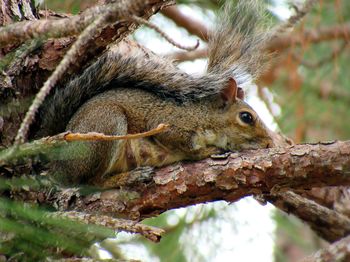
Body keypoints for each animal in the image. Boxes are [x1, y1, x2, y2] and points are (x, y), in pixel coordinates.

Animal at [30, 1, 282, 187]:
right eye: (246, 117)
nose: (269, 143)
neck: (205, 117)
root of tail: (57, 162)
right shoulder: (169, 123)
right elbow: (185, 145)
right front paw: (209, 151)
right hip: (106, 126)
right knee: (91, 182)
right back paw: (128, 177)